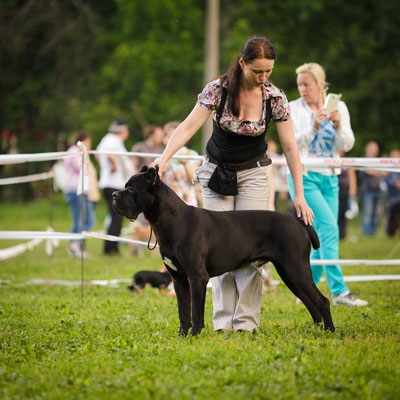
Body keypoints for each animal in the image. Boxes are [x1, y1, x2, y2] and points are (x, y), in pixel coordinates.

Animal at [112, 167, 334, 336]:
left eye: (131, 188)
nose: (114, 195)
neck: (171, 220)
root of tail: (299, 222)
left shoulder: (197, 277)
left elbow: (196, 311)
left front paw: (194, 335)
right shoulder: (179, 280)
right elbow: (183, 311)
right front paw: (182, 335)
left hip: (296, 268)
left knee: (322, 301)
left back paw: (329, 332)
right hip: (288, 273)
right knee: (309, 302)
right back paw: (316, 329)